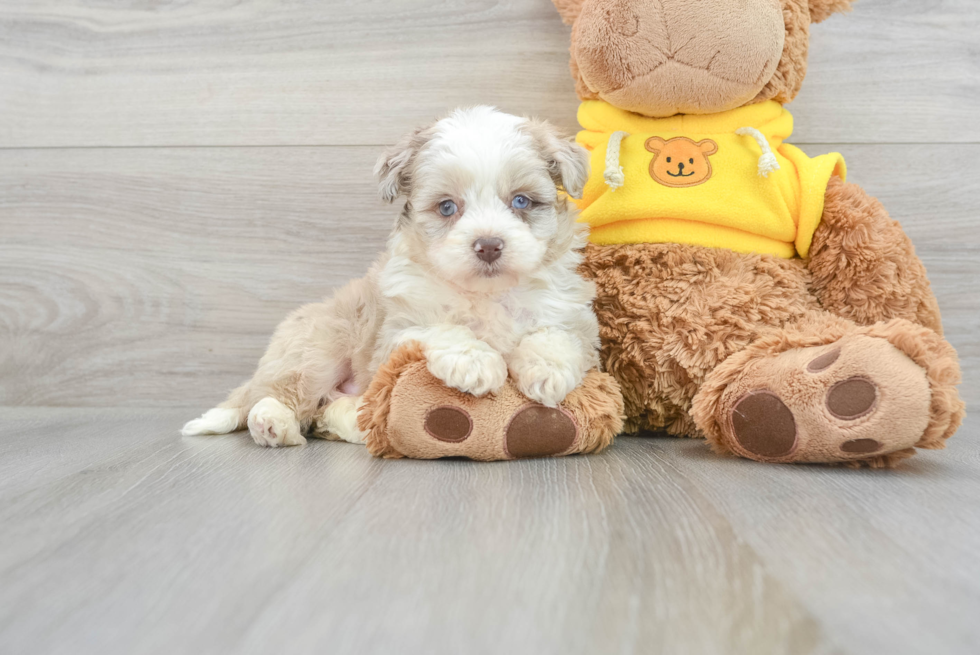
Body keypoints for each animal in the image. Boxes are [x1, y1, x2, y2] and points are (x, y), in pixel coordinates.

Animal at [182, 107, 596, 448]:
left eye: (521, 201)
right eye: (447, 207)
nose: (489, 245)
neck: (485, 295)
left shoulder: (574, 316)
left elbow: (556, 333)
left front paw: (548, 370)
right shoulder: (396, 333)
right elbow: (440, 328)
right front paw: (476, 362)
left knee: (324, 411)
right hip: (317, 346)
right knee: (284, 394)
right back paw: (273, 423)